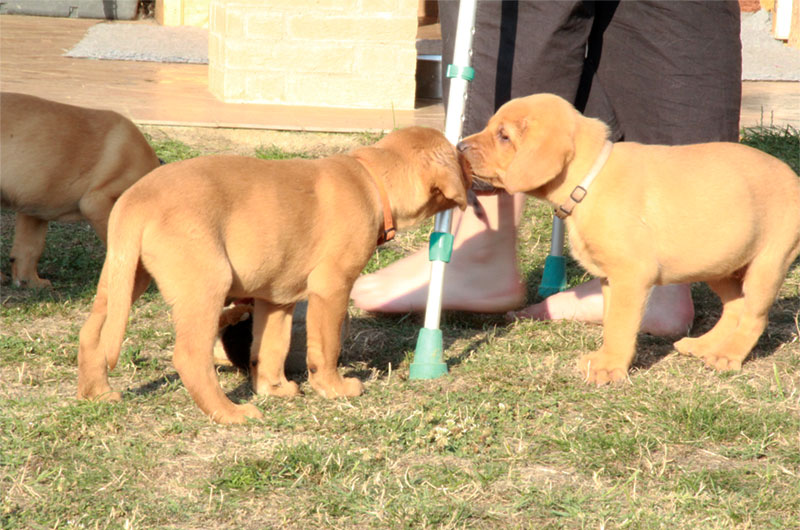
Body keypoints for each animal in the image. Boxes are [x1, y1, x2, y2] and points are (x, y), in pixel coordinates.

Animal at [77, 126, 474, 424]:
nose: (471, 160)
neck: (370, 180)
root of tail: (137, 199)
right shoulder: (332, 287)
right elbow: (326, 347)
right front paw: (335, 389)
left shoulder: (276, 298)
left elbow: (270, 348)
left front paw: (274, 389)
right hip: (205, 284)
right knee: (190, 357)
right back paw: (231, 413)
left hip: (123, 277)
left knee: (91, 334)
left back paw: (97, 394)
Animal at [458, 93, 800, 385]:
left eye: (504, 136)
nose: (459, 147)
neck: (588, 180)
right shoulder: (610, 278)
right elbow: (610, 323)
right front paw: (604, 360)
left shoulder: (631, 275)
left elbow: (621, 326)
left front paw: (610, 369)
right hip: (720, 262)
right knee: (735, 306)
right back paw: (705, 345)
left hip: (768, 263)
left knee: (754, 315)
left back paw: (728, 356)